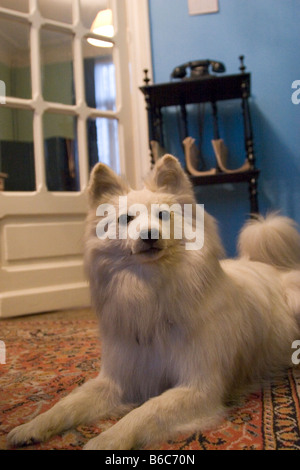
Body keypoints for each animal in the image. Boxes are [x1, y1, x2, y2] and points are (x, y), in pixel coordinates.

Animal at [6, 155, 300, 452]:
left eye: (163, 215)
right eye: (127, 219)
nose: (148, 235)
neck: (149, 294)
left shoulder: (198, 387)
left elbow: (145, 412)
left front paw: (106, 439)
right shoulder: (118, 379)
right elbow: (67, 404)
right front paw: (30, 426)